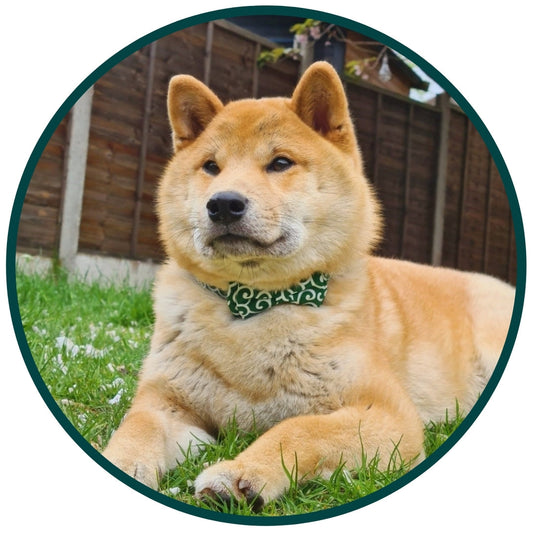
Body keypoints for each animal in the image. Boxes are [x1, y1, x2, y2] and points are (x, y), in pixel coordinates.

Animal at [102, 60, 512, 510]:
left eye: (280, 163)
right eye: (211, 166)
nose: (223, 203)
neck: (255, 304)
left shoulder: (388, 415)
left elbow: (299, 429)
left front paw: (243, 473)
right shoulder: (168, 403)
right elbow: (136, 427)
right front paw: (120, 462)